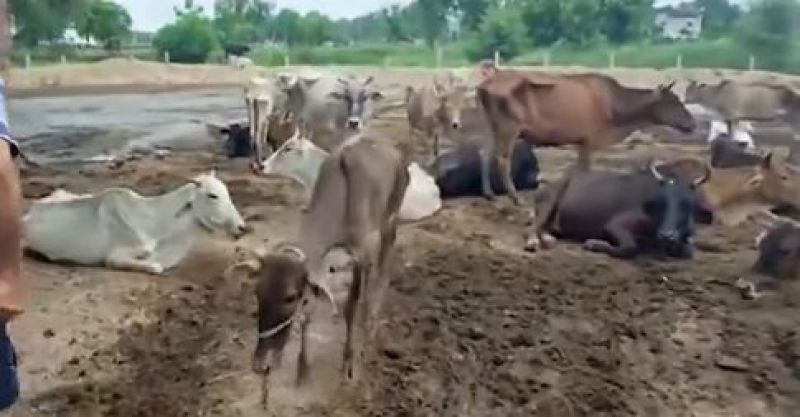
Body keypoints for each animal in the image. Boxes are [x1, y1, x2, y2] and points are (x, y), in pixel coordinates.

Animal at [229, 135, 409, 408]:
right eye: (257, 293)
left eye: (289, 297)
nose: (261, 364)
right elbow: (309, 312)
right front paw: (302, 370)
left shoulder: (361, 257)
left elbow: (352, 308)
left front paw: (349, 366)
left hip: (391, 223)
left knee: (381, 278)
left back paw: (371, 326)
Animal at [477, 70, 695, 206]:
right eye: (674, 102)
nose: (692, 123)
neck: (617, 113)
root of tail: (483, 86)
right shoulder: (589, 139)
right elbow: (584, 170)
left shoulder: (581, 141)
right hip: (509, 128)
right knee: (502, 158)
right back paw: (515, 197)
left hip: (490, 125)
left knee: (485, 152)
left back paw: (488, 193)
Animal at [525, 160, 709, 258]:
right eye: (662, 202)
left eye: (687, 203)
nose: (667, 235)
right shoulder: (615, 225)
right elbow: (629, 247)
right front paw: (593, 244)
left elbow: (688, 249)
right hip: (550, 198)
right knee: (535, 225)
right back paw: (534, 241)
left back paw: (548, 237)